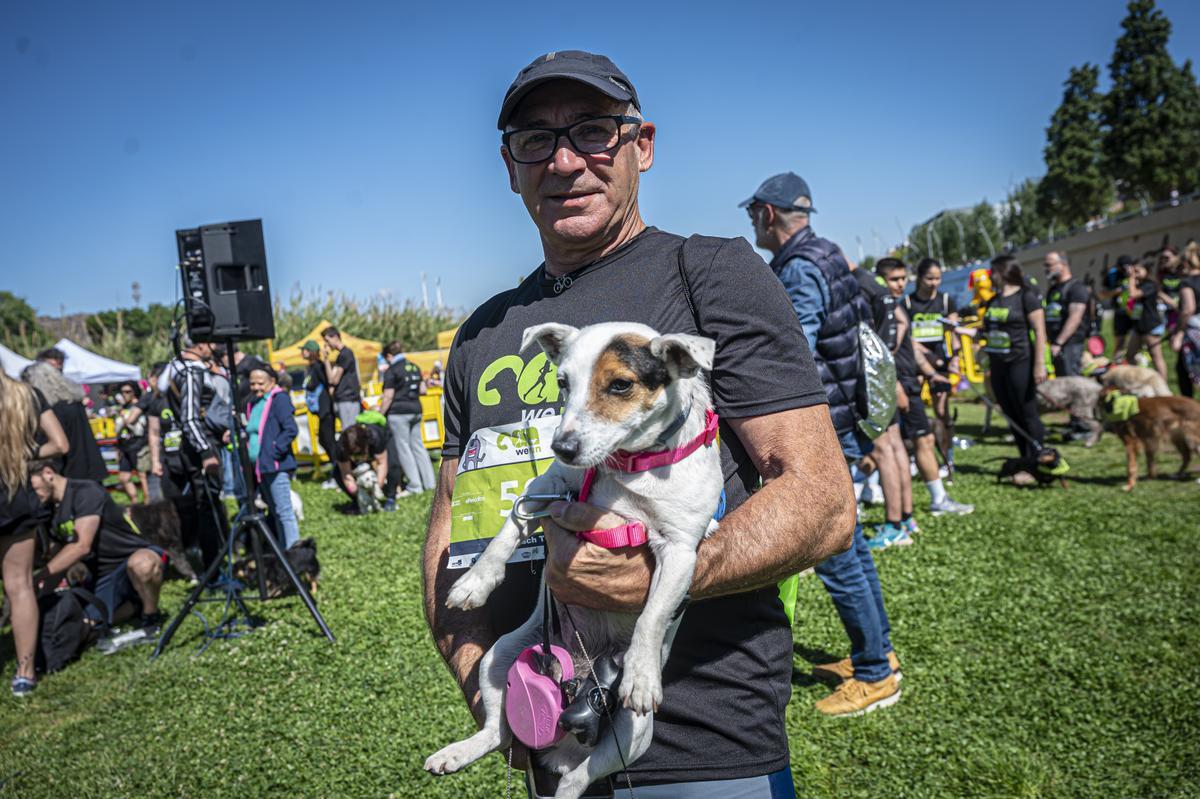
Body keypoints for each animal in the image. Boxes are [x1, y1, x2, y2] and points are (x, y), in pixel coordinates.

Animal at [429, 321, 720, 791]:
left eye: (620, 385)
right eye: (563, 383)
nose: (562, 447)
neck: (625, 467)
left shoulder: (679, 548)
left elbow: (654, 612)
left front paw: (641, 672)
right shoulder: (543, 491)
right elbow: (504, 534)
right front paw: (476, 581)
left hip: (632, 734)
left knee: (578, 779)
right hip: (499, 658)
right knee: (497, 733)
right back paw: (455, 753)